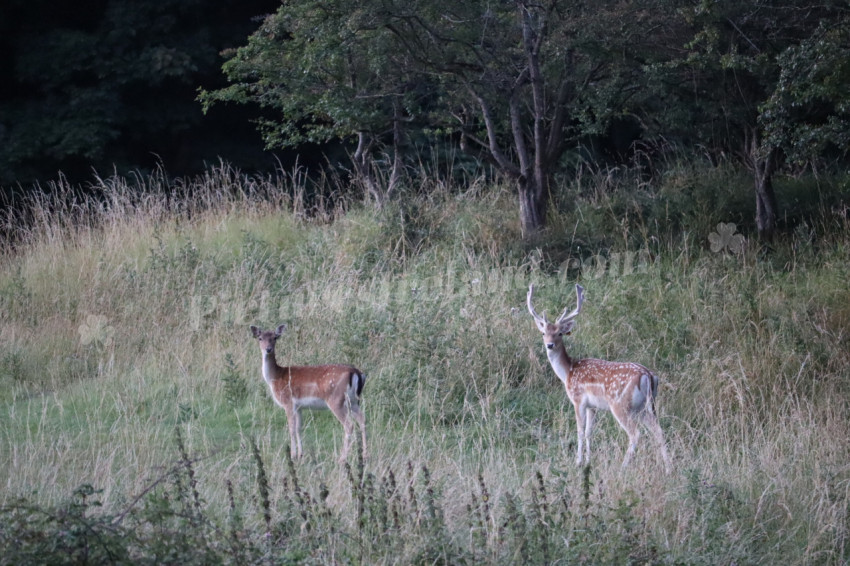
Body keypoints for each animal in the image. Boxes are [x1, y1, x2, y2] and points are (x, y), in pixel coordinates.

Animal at [245, 326, 364, 464]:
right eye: (260, 338)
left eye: (274, 337)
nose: (268, 349)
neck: (274, 378)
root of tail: (356, 372)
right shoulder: (299, 407)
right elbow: (299, 428)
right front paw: (301, 455)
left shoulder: (288, 402)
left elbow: (291, 429)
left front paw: (293, 455)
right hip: (354, 401)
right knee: (362, 419)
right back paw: (365, 455)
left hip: (336, 400)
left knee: (349, 425)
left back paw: (342, 459)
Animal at [524, 284, 668, 474]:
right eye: (543, 333)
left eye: (560, 333)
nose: (549, 345)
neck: (568, 372)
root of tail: (648, 375)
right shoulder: (593, 406)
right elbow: (588, 432)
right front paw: (588, 461)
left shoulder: (578, 399)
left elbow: (579, 430)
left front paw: (578, 462)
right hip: (646, 407)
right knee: (658, 431)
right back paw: (669, 468)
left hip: (620, 404)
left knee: (635, 434)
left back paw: (622, 468)